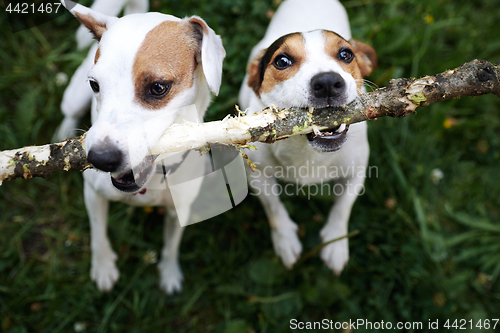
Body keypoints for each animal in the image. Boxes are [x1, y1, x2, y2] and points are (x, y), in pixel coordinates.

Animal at [61, 0, 226, 292]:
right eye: (95, 85)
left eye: (158, 87)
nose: (100, 159)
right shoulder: (93, 194)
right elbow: (97, 234)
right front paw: (103, 266)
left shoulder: (179, 209)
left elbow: (171, 246)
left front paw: (169, 273)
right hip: (74, 97)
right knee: (68, 112)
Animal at [238, 0, 376, 274]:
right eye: (282, 61)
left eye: (346, 55)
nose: (327, 82)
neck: (308, 151)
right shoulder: (257, 174)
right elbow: (273, 208)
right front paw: (285, 240)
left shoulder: (356, 170)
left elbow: (343, 207)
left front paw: (336, 242)